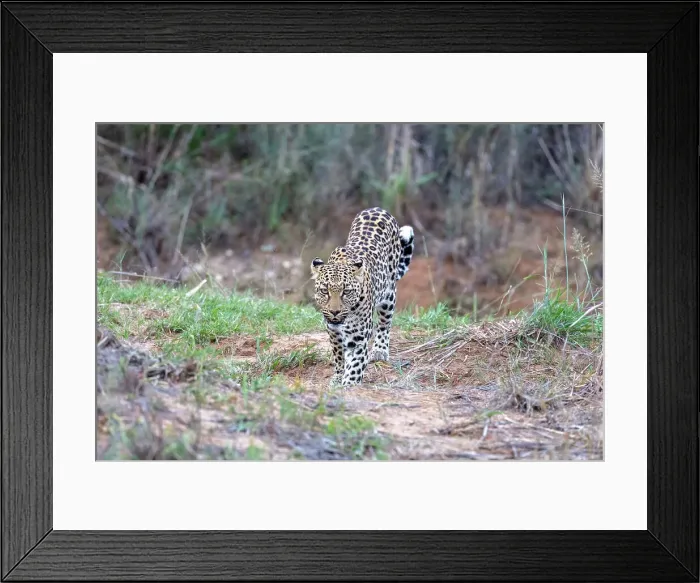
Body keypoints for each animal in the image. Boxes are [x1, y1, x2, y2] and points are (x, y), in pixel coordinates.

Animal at [310, 207, 415, 388]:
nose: (335, 312)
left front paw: (349, 385)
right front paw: (338, 377)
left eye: (346, 292)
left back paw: (379, 351)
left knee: (384, 323)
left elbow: (355, 365)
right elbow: (339, 355)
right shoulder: (332, 331)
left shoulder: (357, 338)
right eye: (324, 291)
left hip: (388, 294)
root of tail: (378, 209)